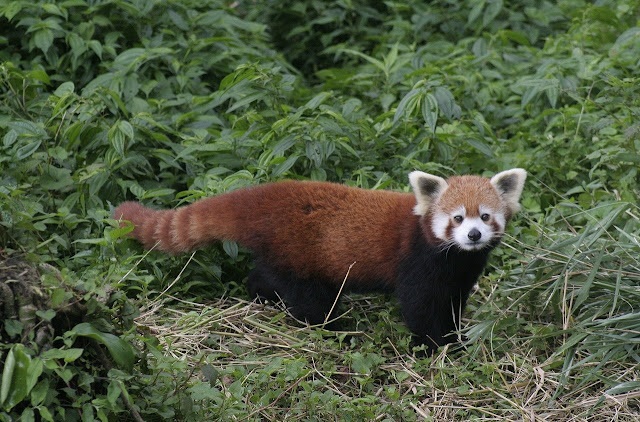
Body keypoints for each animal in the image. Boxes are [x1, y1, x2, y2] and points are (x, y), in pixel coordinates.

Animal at [114, 169, 524, 352]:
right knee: (309, 299)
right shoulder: (417, 261)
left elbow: (453, 302)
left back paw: (264, 296)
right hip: (301, 254)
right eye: (457, 218)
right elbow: (419, 308)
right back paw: (333, 328)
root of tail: (265, 197)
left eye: (485, 216)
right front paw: (441, 345)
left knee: (264, 275)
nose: (473, 235)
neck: (453, 258)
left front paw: (458, 335)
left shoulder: (459, 273)